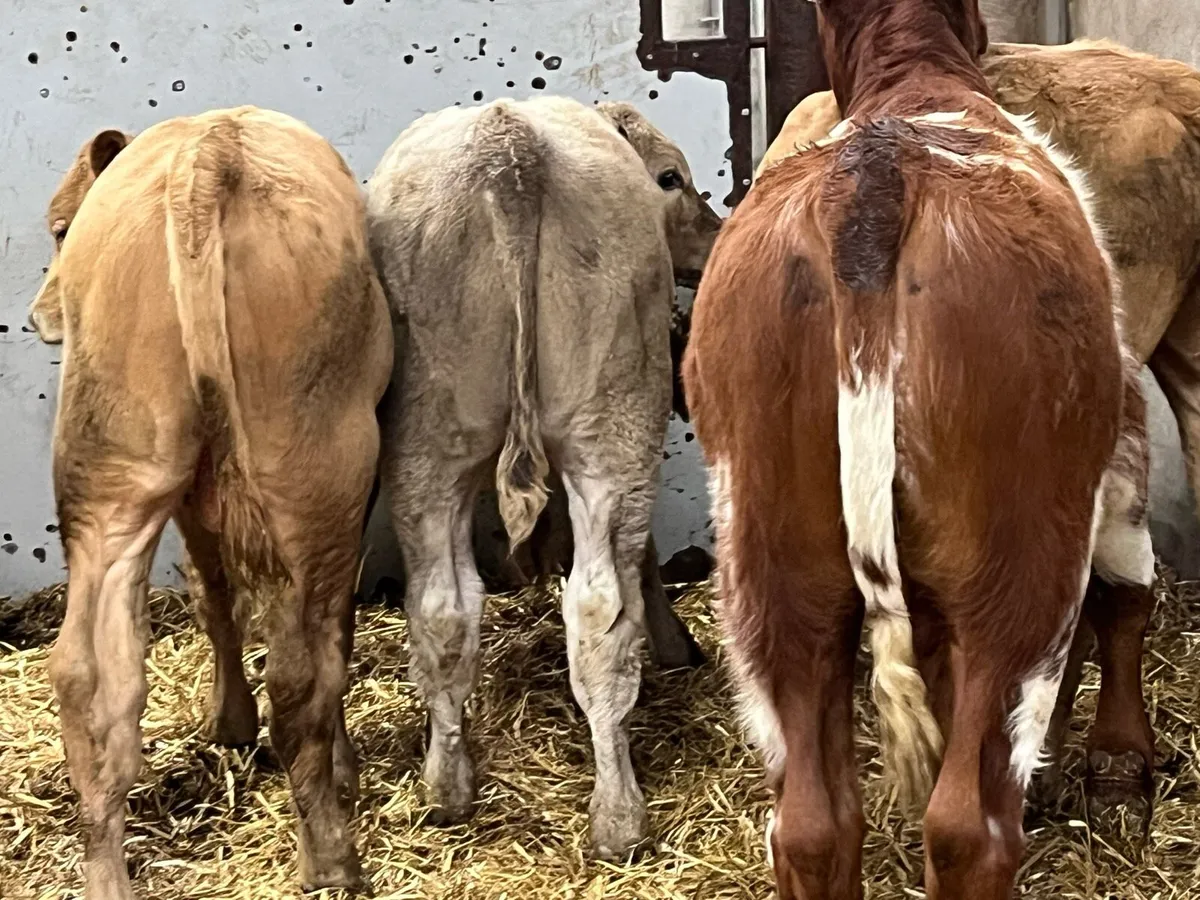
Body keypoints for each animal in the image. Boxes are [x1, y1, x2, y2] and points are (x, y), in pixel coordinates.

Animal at [26, 106, 393, 898]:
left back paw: (107, 873)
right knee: (303, 667)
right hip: (319, 466)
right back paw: (330, 855)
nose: (39, 317)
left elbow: (211, 589)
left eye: (61, 228)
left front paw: (227, 722)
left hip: (112, 471)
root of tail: (206, 151)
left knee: (87, 674)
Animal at [365, 95, 721, 860]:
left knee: (442, 609)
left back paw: (447, 789)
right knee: (599, 609)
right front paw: (677, 645)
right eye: (671, 176)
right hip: (613, 423)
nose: (715, 239)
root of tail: (510, 149)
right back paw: (619, 818)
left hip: (426, 441)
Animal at [684, 1, 1127, 897]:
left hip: (772, 563)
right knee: (970, 822)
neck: (915, 79)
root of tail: (875, 183)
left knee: (810, 823)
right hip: (1019, 572)